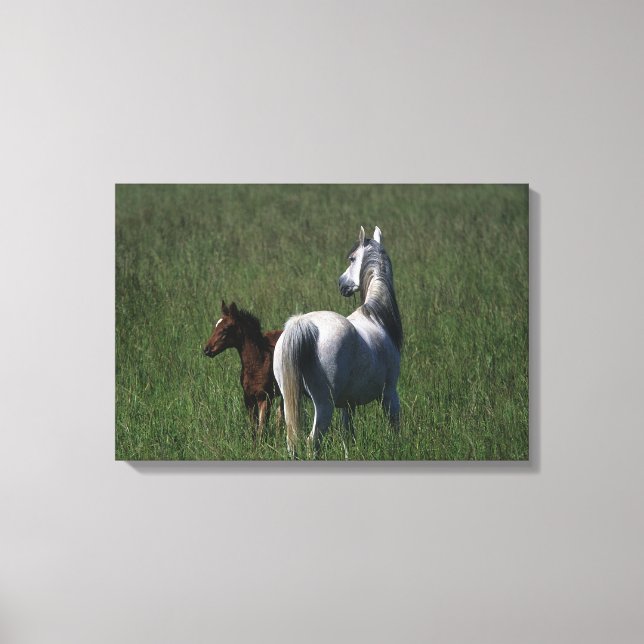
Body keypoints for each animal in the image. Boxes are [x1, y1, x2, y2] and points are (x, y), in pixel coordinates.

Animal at [203, 301, 282, 436]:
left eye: (225, 329)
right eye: (216, 326)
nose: (207, 350)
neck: (258, 363)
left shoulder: (266, 398)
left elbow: (261, 429)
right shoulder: (248, 398)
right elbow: (254, 429)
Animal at [273, 226, 402, 458]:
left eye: (351, 258)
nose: (341, 284)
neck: (376, 316)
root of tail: (302, 323)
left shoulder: (347, 404)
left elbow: (347, 437)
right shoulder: (390, 394)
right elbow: (395, 427)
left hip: (290, 401)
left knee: (292, 442)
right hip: (324, 405)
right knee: (311, 442)